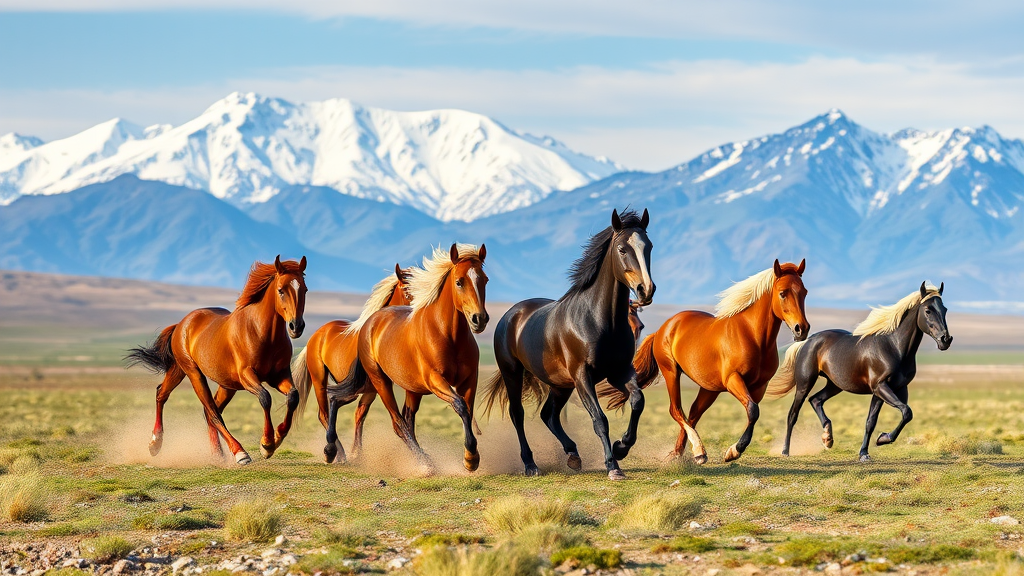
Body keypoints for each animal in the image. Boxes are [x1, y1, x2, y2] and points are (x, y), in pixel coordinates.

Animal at [125, 254, 305, 461]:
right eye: (281, 290)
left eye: (305, 289)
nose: (296, 327)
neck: (262, 333)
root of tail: (182, 323)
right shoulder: (247, 376)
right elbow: (265, 398)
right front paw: (266, 444)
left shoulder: (279, 375)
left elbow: (293, 397)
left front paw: (277, 438)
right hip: (193, 372)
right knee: (210, 411)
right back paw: (237, 452)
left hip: (211, 380)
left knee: (170, 396)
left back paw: (213, 453)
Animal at [290, 261, 413, 461]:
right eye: (408, 292)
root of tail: (316, 335)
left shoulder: (371, 390)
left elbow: (359, 414)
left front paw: (357, 452)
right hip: (320, 380)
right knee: (323, 414)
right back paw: (336, 453)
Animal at [327, 241, 487, 471]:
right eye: (459, 281)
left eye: (485, 280)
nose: (479, 319)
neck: (448, 335)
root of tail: (369, 323)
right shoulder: (435, 380)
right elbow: (460, 406)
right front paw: (471, 458)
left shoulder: (469, 380)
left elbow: (467, 410)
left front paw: (470, 455)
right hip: (379, 382)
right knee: (397, 422)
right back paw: (424, 463)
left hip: (409, 389)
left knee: (405, 420)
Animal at [598, 259, 806, 461]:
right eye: (782, 293)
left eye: (804, 292)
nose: (801, 329)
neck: (752, 336)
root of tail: (663, 329)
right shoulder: (733, 379)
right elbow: (753, 411)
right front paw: (734, 451)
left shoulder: (759, 387)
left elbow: (752, 414)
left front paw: (733, 450)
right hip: (671, 372)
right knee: (676, 410)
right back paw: (697, 450)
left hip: (709, 388)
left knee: (693, 414)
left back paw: (679, 453)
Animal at [770, 280, 950, 459]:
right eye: (928, 310)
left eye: (945, 310)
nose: (945, 340)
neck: (893, 347)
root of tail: (808, 340)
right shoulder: (880, 387)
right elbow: (902, 412)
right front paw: (879, 441)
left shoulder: (898, 389)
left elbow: (888, 418)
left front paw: (871, 447)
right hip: (805, 383)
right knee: (793, 414)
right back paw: (785, 451)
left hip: (834, 385)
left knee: (816, 400)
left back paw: (828, 438)